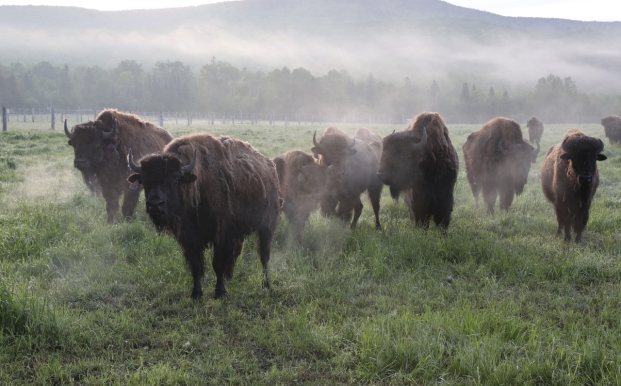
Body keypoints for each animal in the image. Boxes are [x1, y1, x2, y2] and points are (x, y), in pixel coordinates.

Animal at [127, 133, 280, 298]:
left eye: (175, 179)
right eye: (144, 180)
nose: (155, 204)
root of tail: (270, 167)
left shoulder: (220, 234)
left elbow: (217, 264)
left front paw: (219, 292)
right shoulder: (189, 238)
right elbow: (196, 265)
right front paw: (196, 293)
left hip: (267, 226)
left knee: (264, 255)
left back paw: (265, 284)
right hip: (238, 231)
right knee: (236, 252)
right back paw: (229, 277)